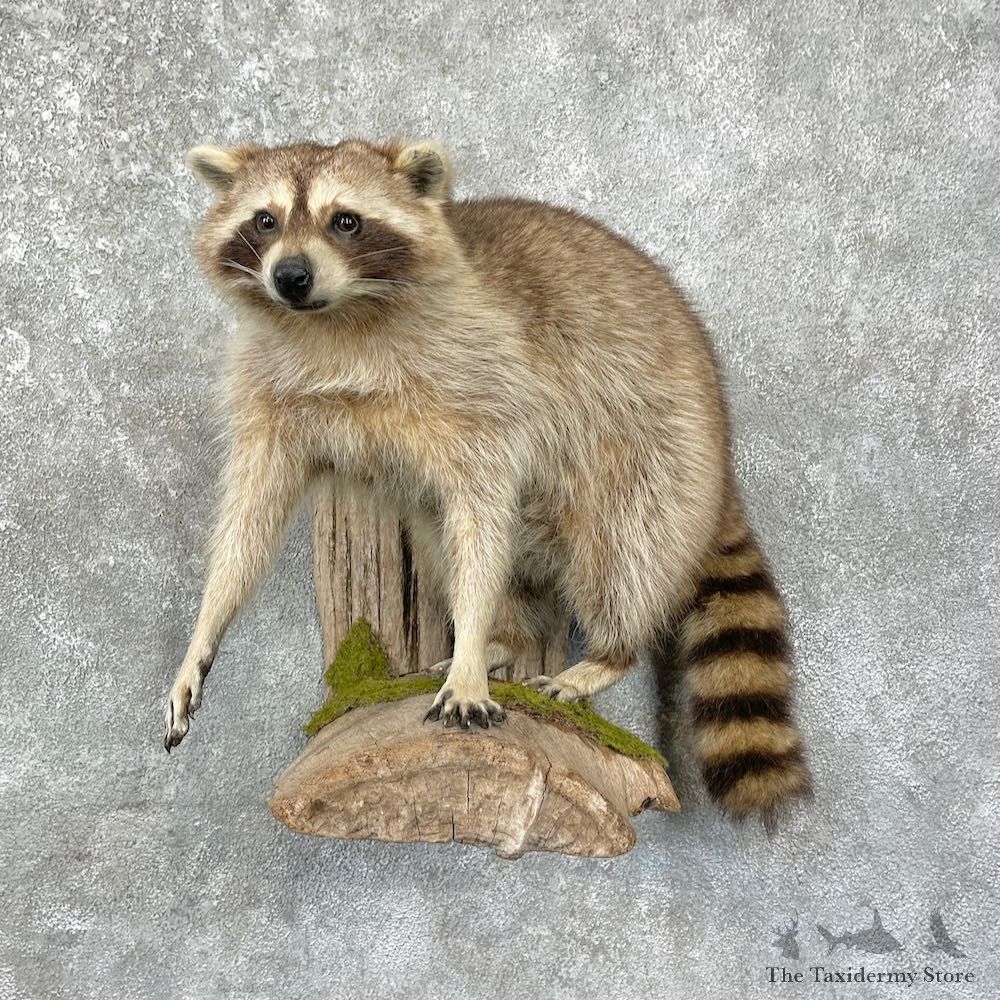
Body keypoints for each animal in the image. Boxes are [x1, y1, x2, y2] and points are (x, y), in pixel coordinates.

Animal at [164, 138, 811, 822]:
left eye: (346, 221)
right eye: (265, 220)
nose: (290, 276)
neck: (330, 318)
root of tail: (721, 440)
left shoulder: (486, 381)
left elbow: (485, 513)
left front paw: (474, 649)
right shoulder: (269, 393)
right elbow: (249, 520)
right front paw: (204, 632)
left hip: (653, 447)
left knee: (619, 556)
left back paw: (606, 652)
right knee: (445, 541)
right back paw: (507, 637)